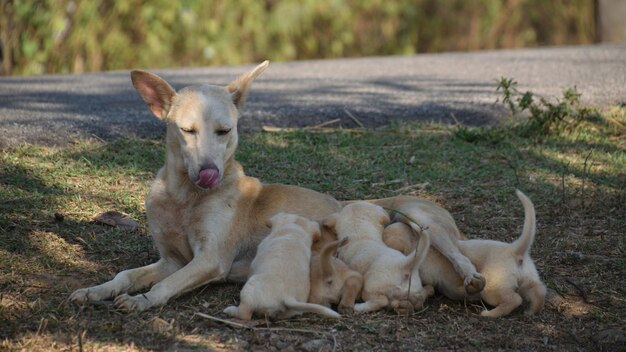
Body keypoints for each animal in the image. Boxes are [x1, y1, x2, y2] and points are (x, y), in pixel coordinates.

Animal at [68, 60, 482, 310]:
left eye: (225, 131)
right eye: (187, 131)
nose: (209, 173)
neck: (184, 197)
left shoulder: (208, 260)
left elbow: (163, 287)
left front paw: (143, 302)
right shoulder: (172, 259)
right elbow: (126, 276)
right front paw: (95, 291)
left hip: (419, 217)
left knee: (457, 254)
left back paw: (472, 278)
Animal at [378, 191, 544, 318]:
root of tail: (516, 250)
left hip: (492, 287)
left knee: (514, 299)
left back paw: (489, 313)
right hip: (529, 281)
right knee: (538, 292)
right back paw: (531, 311)